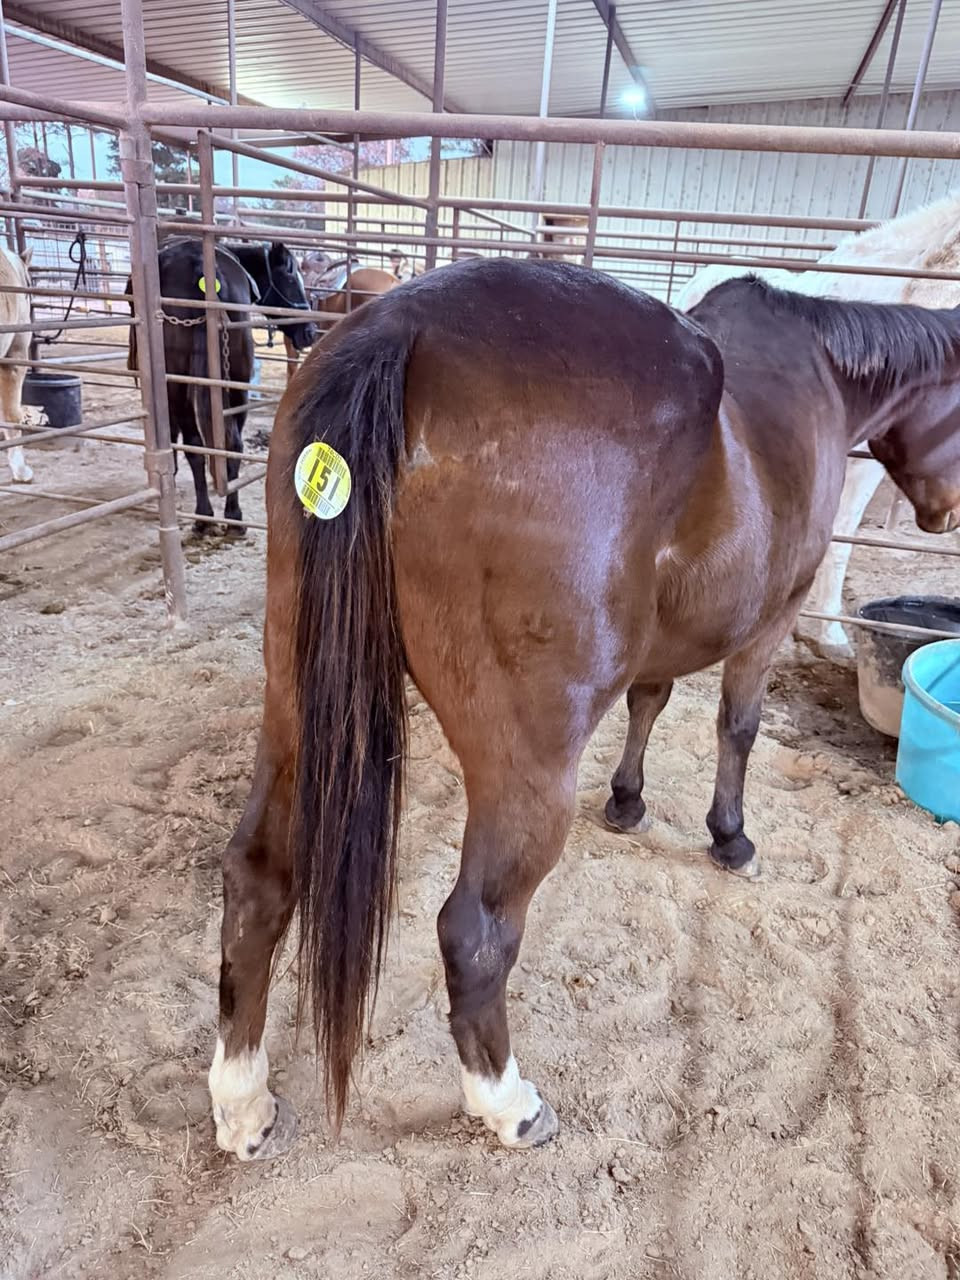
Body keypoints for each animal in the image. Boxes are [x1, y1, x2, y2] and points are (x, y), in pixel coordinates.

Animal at [206, 256, 960, 1161]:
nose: (944, 513)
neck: (819, 372)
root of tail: (400, 328)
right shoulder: (770, 623)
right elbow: (736, 727)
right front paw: (731, 838)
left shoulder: (663, 644)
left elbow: (650, 700)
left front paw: (627, 802)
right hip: (526, 766)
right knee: (475, 931)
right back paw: (508, 1102)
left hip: (294, 701)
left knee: (257, 877)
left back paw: (241, 1102)